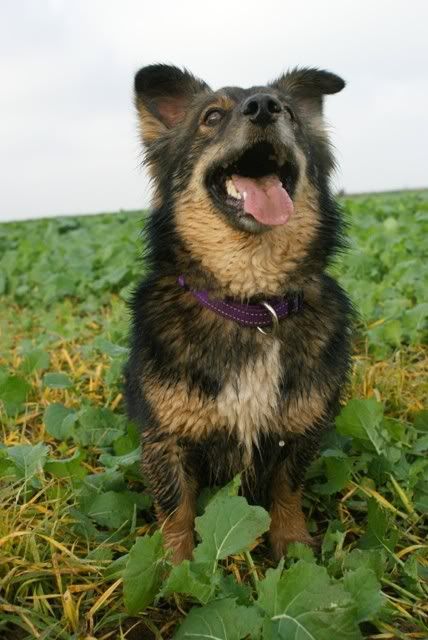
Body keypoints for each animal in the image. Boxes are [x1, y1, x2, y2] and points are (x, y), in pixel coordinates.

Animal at [125, 64, 353, 564]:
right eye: (211, 117)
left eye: (288, 112)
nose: (264, 107)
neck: (251, 304)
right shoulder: (165, 439)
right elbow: (176, 510)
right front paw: (175, 568)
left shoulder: (300, 431)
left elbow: (287, 491)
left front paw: (293, 546)